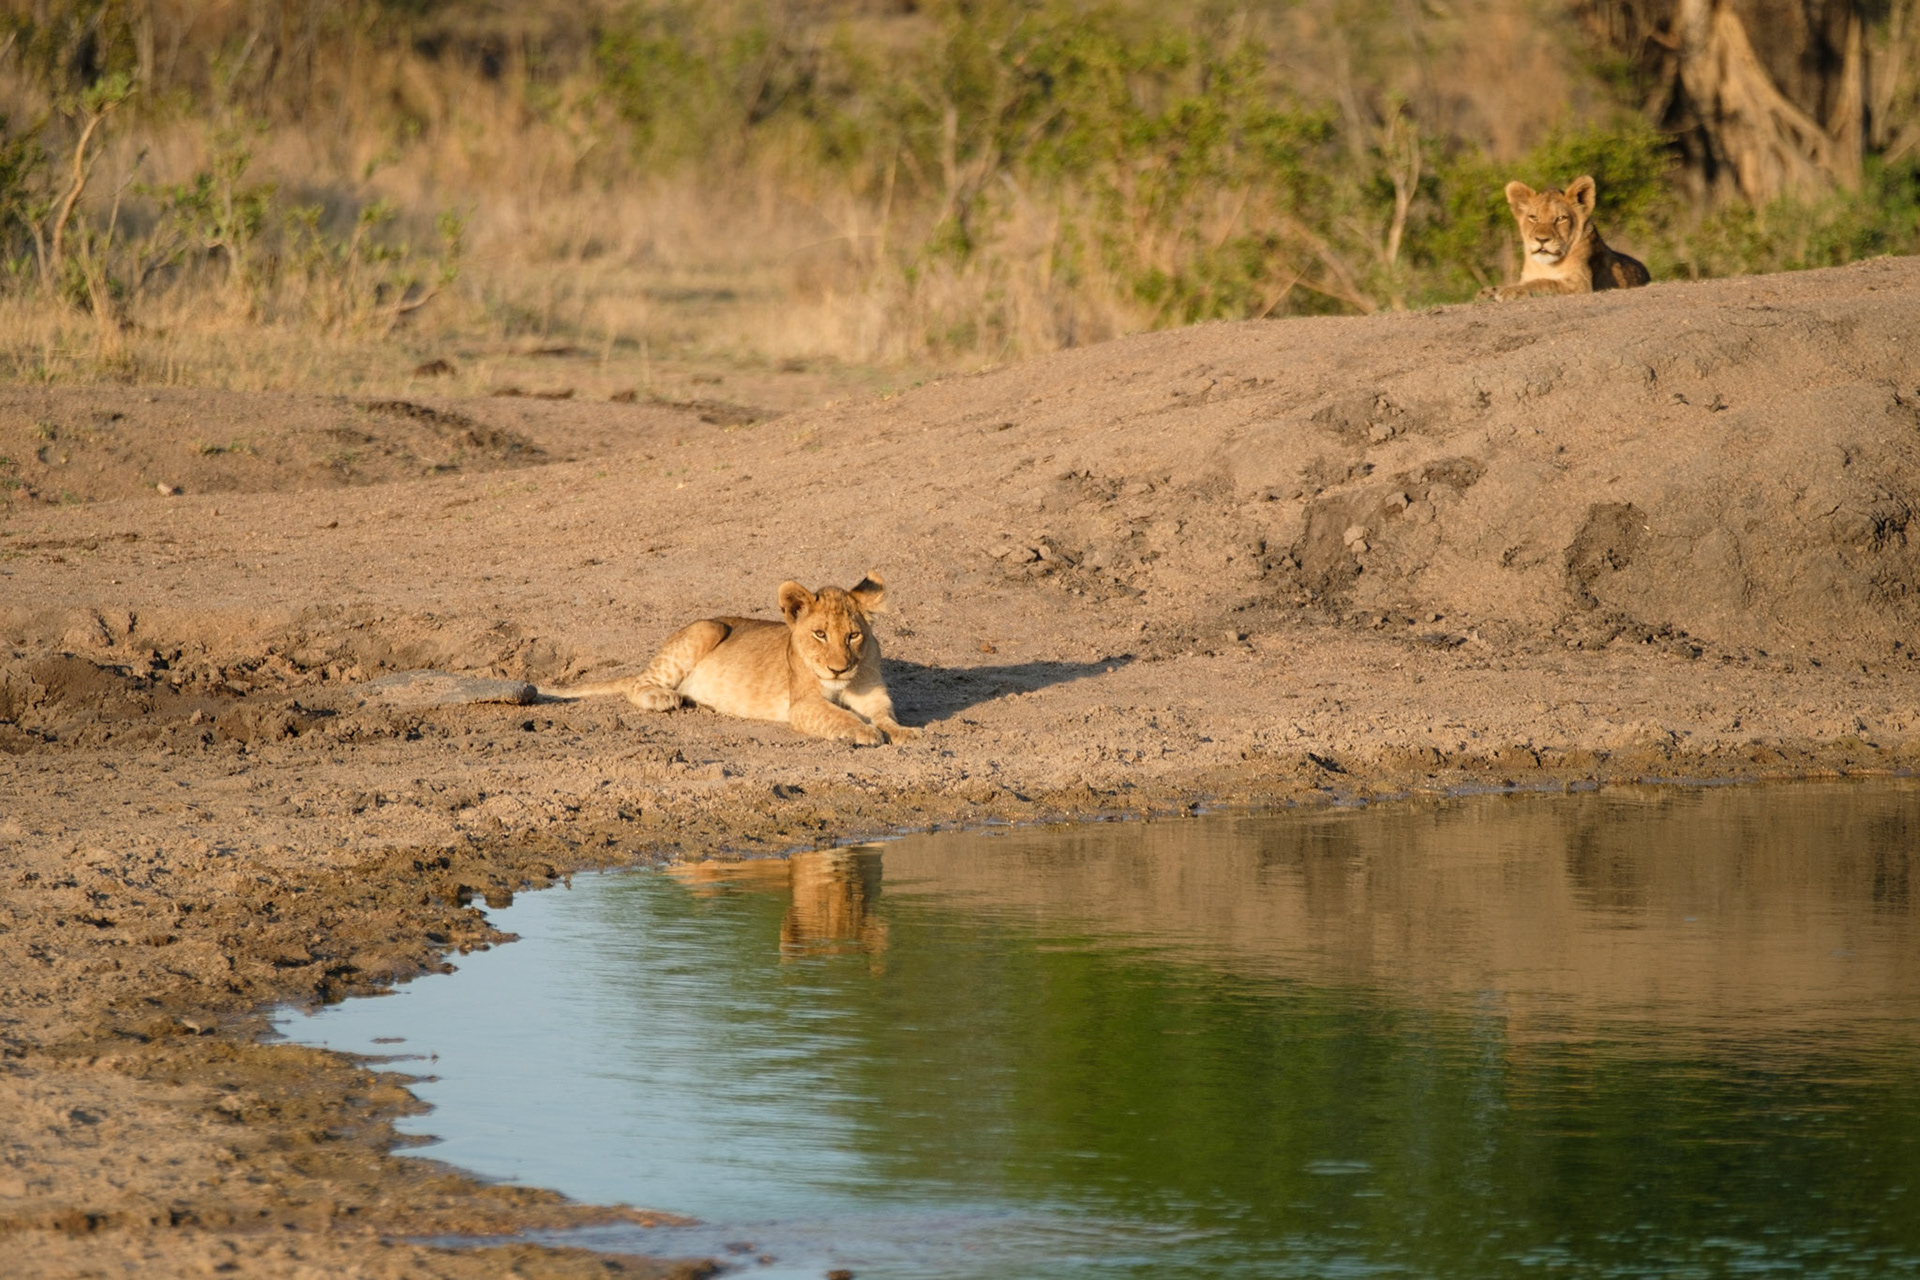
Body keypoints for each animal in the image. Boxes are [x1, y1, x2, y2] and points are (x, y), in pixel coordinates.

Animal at [539, 573, 919, 746]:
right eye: (820, 634)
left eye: (853, 636)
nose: (838, 669)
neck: (843, 684)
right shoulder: (803, 705)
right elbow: (840, 717)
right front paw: (865, 733)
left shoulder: (874, 696)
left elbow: (886, 716)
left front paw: (905, 732)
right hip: (706, 628)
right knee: (638, 684)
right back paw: (665, 698)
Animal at [1478, 175, 1650, 301]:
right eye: (1533, 218)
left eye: (1560, 218)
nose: (1542, 240)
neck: (1544, 265)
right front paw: (1488, 291)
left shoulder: (1580, 285)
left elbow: (1543, 282)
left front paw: (1510, 291)